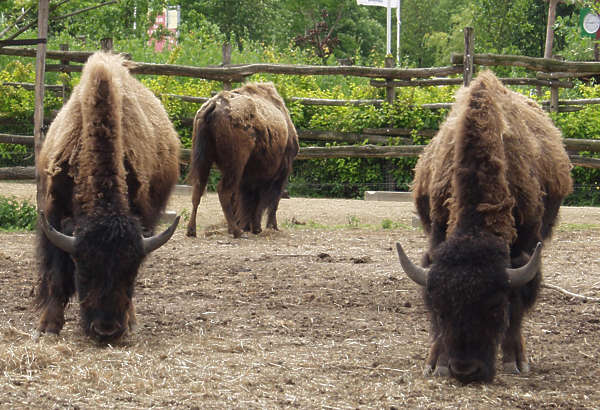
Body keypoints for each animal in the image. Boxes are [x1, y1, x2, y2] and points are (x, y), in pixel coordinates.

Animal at [34, 52, 179, 342]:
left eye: (131, 272)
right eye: (84, 269)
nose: (107, 329)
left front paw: (130, 321)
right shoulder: (53, 216)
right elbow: (56, 273)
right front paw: (48, 326)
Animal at [186, 82, 298, 239]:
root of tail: (213, 107)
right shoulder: (279, 172)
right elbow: (267, 202)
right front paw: (266, 227)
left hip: (203, 159)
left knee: (198, 189)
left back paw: (191, 230)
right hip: (235, 164)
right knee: (223, 191)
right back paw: (236, 231)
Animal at [396, 71, 576, 384]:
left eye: (494, 307)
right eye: (440, 309)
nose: (465, 370)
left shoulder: (524, 253)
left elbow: (518, 304)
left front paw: (515, 361)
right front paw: (436, 363)